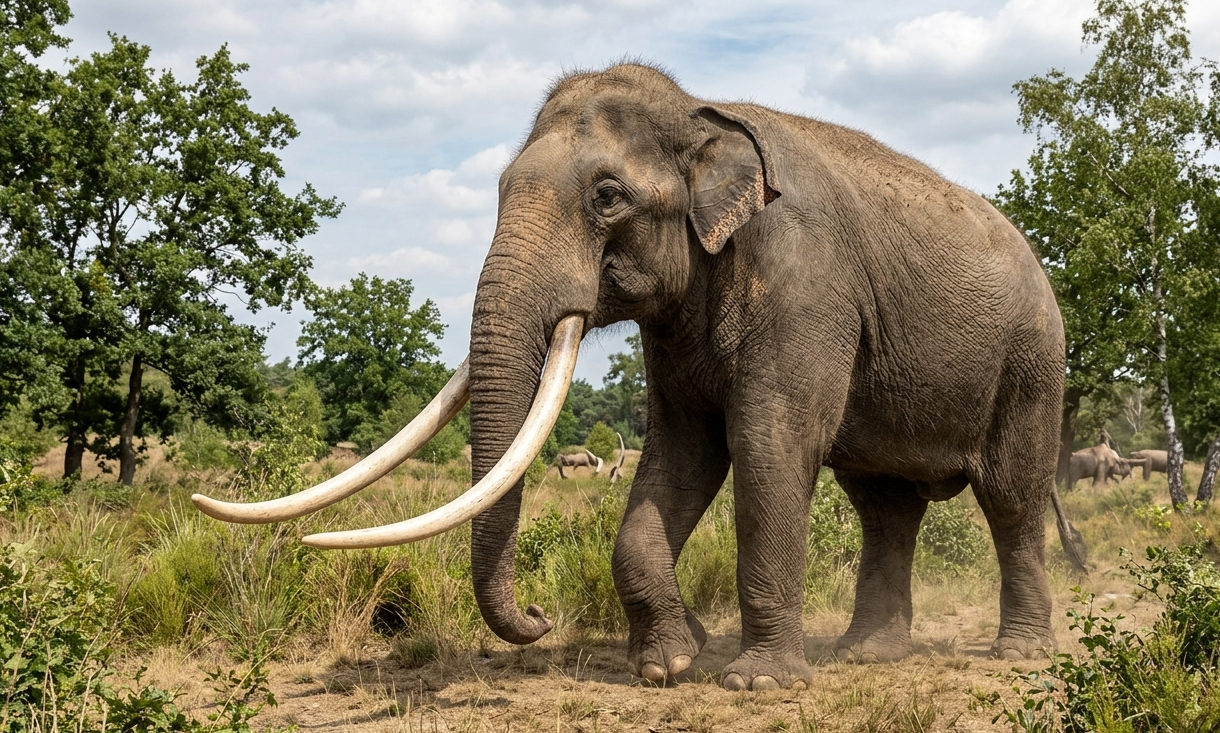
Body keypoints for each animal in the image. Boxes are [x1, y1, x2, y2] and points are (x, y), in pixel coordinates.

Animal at [193, 64, 1070, 692]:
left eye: (607, 196)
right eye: (498, 190)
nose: (541, 614)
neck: (703, 113)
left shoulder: (805, 286)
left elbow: (769, 444)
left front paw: (755, 683)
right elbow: (681, 456)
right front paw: (669, 664)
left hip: (1032, 362)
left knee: (1010, 496)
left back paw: (1016, 655)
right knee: (884, 503)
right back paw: (865, 655)